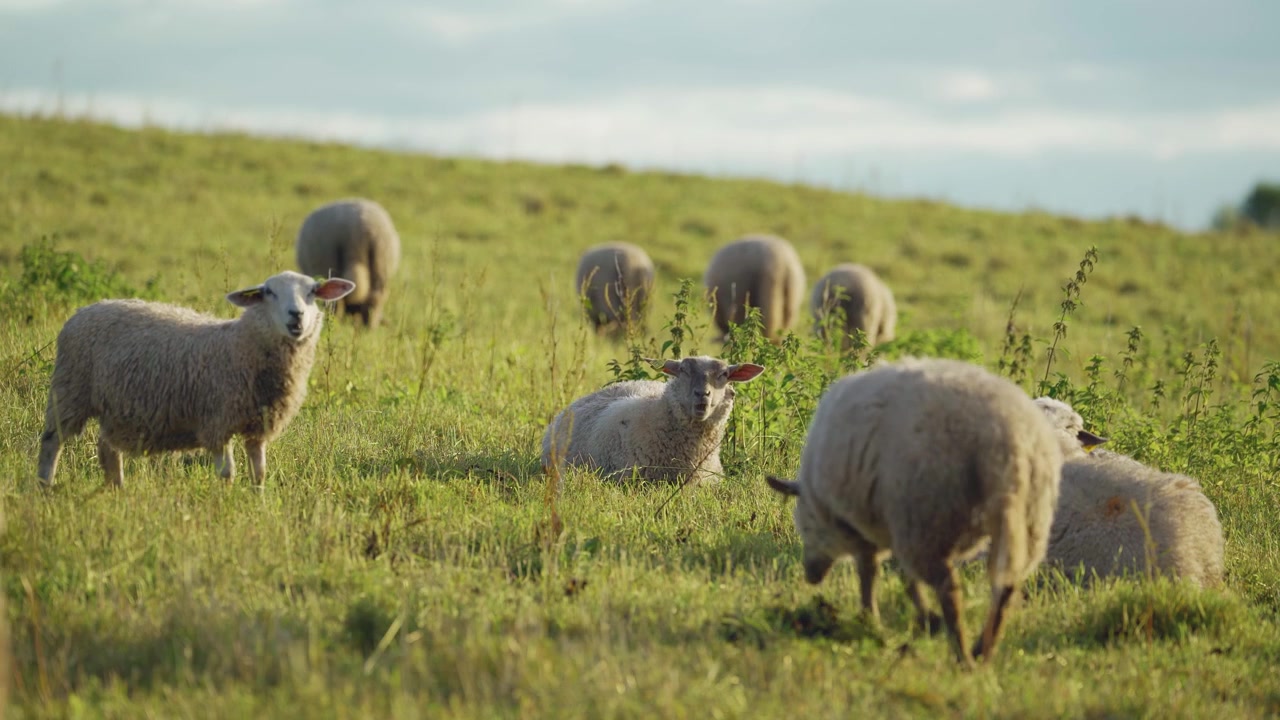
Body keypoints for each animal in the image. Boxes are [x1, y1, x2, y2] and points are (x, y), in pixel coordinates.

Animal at [36, 271, 355, 487]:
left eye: (313, 291)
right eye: (268, 292)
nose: (296, 315)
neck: (241, 347)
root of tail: (85, 309)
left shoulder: (257, 426)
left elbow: (259, 472)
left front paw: (259, 502)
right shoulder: (217, 421)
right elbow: (227, 473)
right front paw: (227, 505)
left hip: (115, 408)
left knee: (108, 449)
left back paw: (118, 490)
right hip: (69, 391)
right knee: (52, 442)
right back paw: (45, 487)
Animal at [295, 198, 401, 327]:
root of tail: (355, 229)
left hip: (327, 262)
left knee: (336, 302)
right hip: (381, 263)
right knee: (375, 298)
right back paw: (369, 326)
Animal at [766, 358, 1064, 665]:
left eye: (803, 527)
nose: (810, 576)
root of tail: (1008, 444)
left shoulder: (866, 522)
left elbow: (873, 572)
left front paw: (873, 619)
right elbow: (899, 575)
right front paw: (918, 620)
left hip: (926, 515)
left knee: (949, 587)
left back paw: (962, 655)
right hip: (1029, 520)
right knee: (1005, 588)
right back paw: (983, 650)